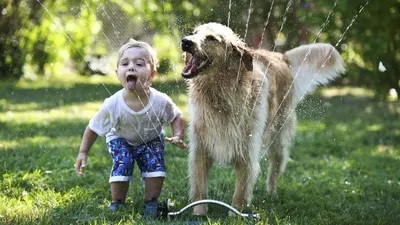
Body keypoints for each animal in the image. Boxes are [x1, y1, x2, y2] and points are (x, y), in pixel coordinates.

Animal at [181, 22, 344, 214]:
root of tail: (281, 56)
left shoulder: (247, 151)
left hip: (279, 137)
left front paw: (235, 214)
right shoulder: (200, 149)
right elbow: (200, 187)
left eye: (212, 38)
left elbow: (240, 192)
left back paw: (271, 194)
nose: (185, 41)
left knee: (276, 168)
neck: (220, 95)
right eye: (194, 33)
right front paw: (199, 212)